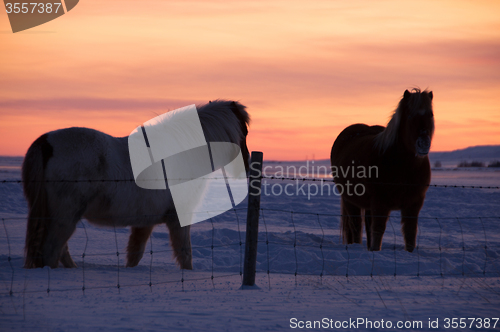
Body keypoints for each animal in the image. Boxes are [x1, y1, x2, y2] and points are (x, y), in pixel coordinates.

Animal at [23, 100, 250, 268]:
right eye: (245, 133)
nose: (246, 167)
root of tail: (46, 142)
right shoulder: (178, 219)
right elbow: (186, 256)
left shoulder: (144, 221)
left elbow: (135, 254)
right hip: (66, 216)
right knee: (52, 251)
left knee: (60, 251)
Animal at [330, 88, 432, 252]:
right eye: (410, 115)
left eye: (431, 114)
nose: (423, 143)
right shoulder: (380, 204)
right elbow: (378, 231)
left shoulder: (414, 205)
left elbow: (410, 234)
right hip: (350, 200)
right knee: (356, 226)